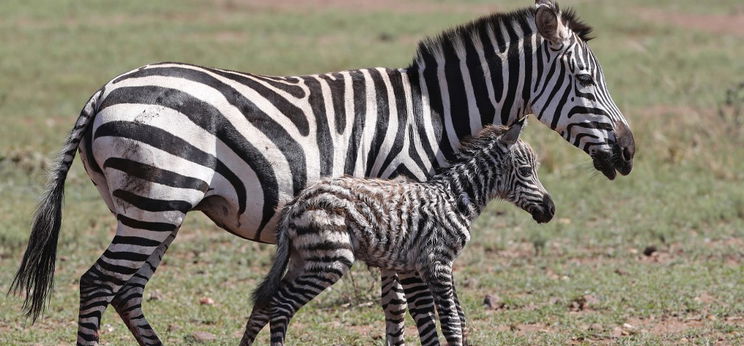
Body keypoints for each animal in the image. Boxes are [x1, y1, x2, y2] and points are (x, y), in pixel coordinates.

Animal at [241, 119, 556, 346]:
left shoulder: (420, 266)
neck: (455, 198)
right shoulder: (438, 263)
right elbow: (451, 324)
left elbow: (437, 319)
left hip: (303, 259)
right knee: (281, 307)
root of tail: (298, 202)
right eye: (526, 170)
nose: (551, 210)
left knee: (265, 305)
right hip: (330, 259)